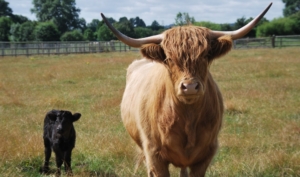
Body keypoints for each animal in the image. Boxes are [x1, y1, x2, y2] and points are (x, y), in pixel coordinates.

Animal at [101, 2, 272, 177]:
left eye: (205, 55)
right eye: (169, 58)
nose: (189, 87)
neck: (188, 117)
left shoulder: (206, 155)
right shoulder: (154, 155)